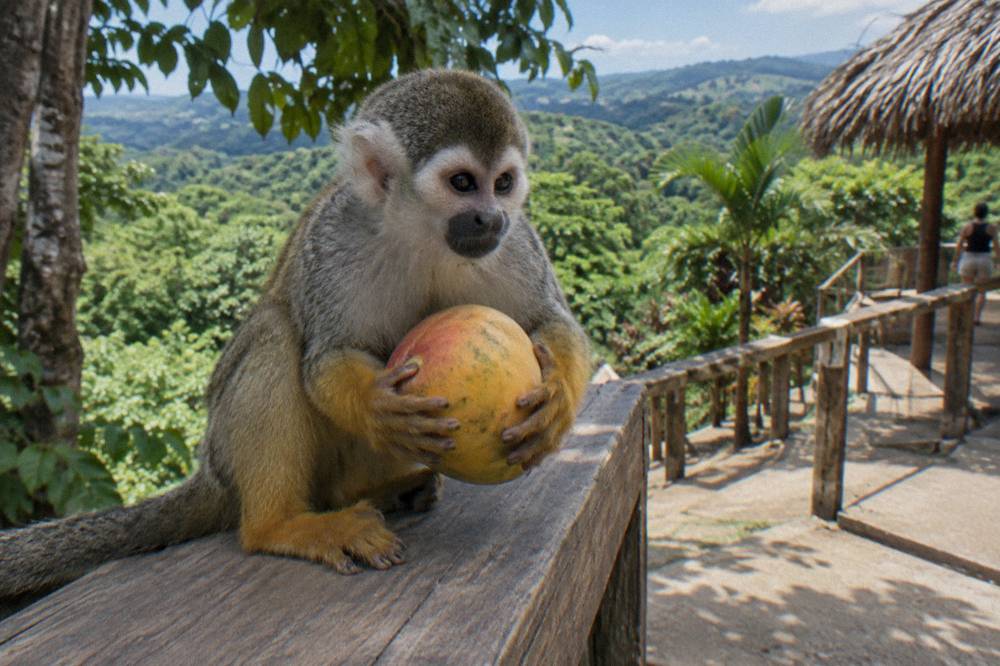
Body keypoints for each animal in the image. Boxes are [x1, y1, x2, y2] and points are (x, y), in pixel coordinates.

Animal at [0, 69, 591, 597]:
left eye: (504, 183)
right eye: (463, 182)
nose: (491, 218)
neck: (424, 237)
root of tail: (213, 474)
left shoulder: (515, 245)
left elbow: (550, 321)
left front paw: (557, 402)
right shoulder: (338, 240)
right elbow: (326, 357)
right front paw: (379, 406)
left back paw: (385, 489)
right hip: (232, 451)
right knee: (275, 336)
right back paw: (282, 524)